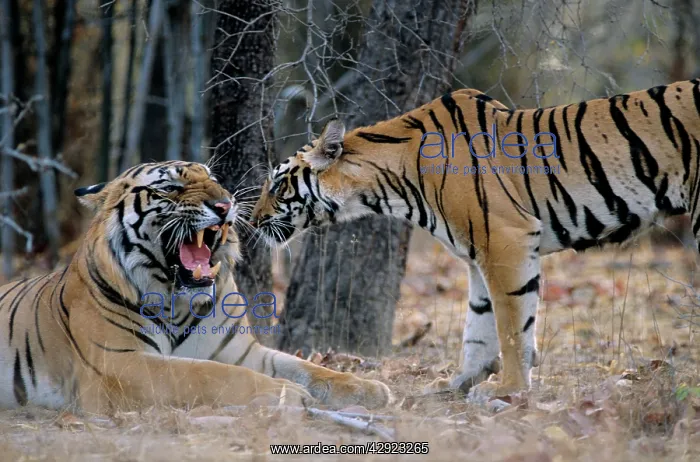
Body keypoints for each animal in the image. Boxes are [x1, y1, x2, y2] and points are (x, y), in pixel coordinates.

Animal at [0, 160, 390, 413]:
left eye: (214, 179)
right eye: (170, 187)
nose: (225, 203)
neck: (177, 299)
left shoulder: (242, 351)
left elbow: (305, 366)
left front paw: (368, 388)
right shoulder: (120, 361)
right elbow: (206, 374)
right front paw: (284, 394)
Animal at [251, 79, 700, 399]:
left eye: (277, 184)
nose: (253, 222)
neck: (390, 182)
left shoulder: (505, 240)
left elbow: (511, 324)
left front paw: (509, 390)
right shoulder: (476, 251)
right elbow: (478, 323)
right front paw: (460, 381)